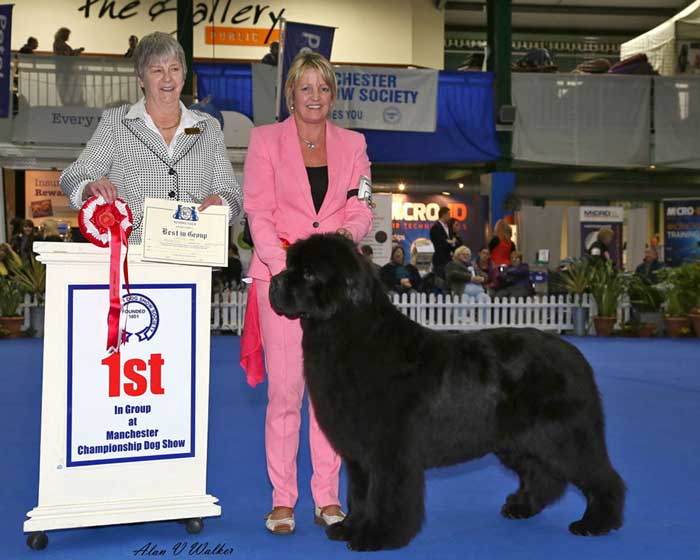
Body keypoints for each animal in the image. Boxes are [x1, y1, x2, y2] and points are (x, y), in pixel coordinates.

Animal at [270, 233, 628, 552]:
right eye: (290, 265)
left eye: (308, 273)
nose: (274, 282)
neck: (349, 333)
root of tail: (575, 355)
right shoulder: (359, 453)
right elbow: (358, 494)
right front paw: (349, 527)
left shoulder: (390, 450)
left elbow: (385, 495)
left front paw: (378, 536)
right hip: (520, 438)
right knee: (542, 474)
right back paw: (521, 507)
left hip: (565, 434)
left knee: (600, 476)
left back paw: (596, 523)